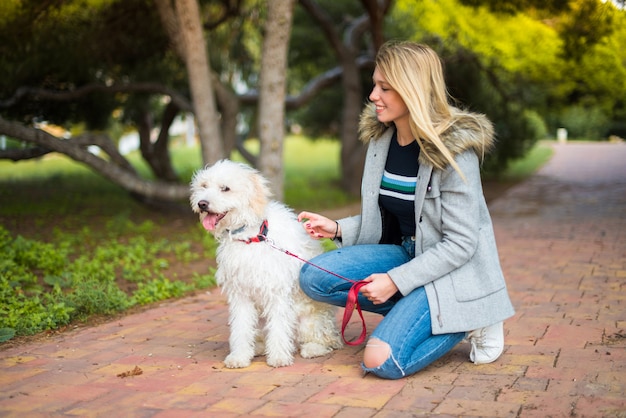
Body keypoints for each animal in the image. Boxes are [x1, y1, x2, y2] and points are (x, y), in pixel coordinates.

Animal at [189, 158, 342, 368]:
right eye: (204, 186)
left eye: (225, 188)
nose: (202, 203)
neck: (251, 236)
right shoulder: (241, 295)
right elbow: (241, 328)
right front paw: (239, 356)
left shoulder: (277, 293)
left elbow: (278, 327)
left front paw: (278, 357)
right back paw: (258, 348)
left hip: (311, 316)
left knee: (321, 338)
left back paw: (312, 348)